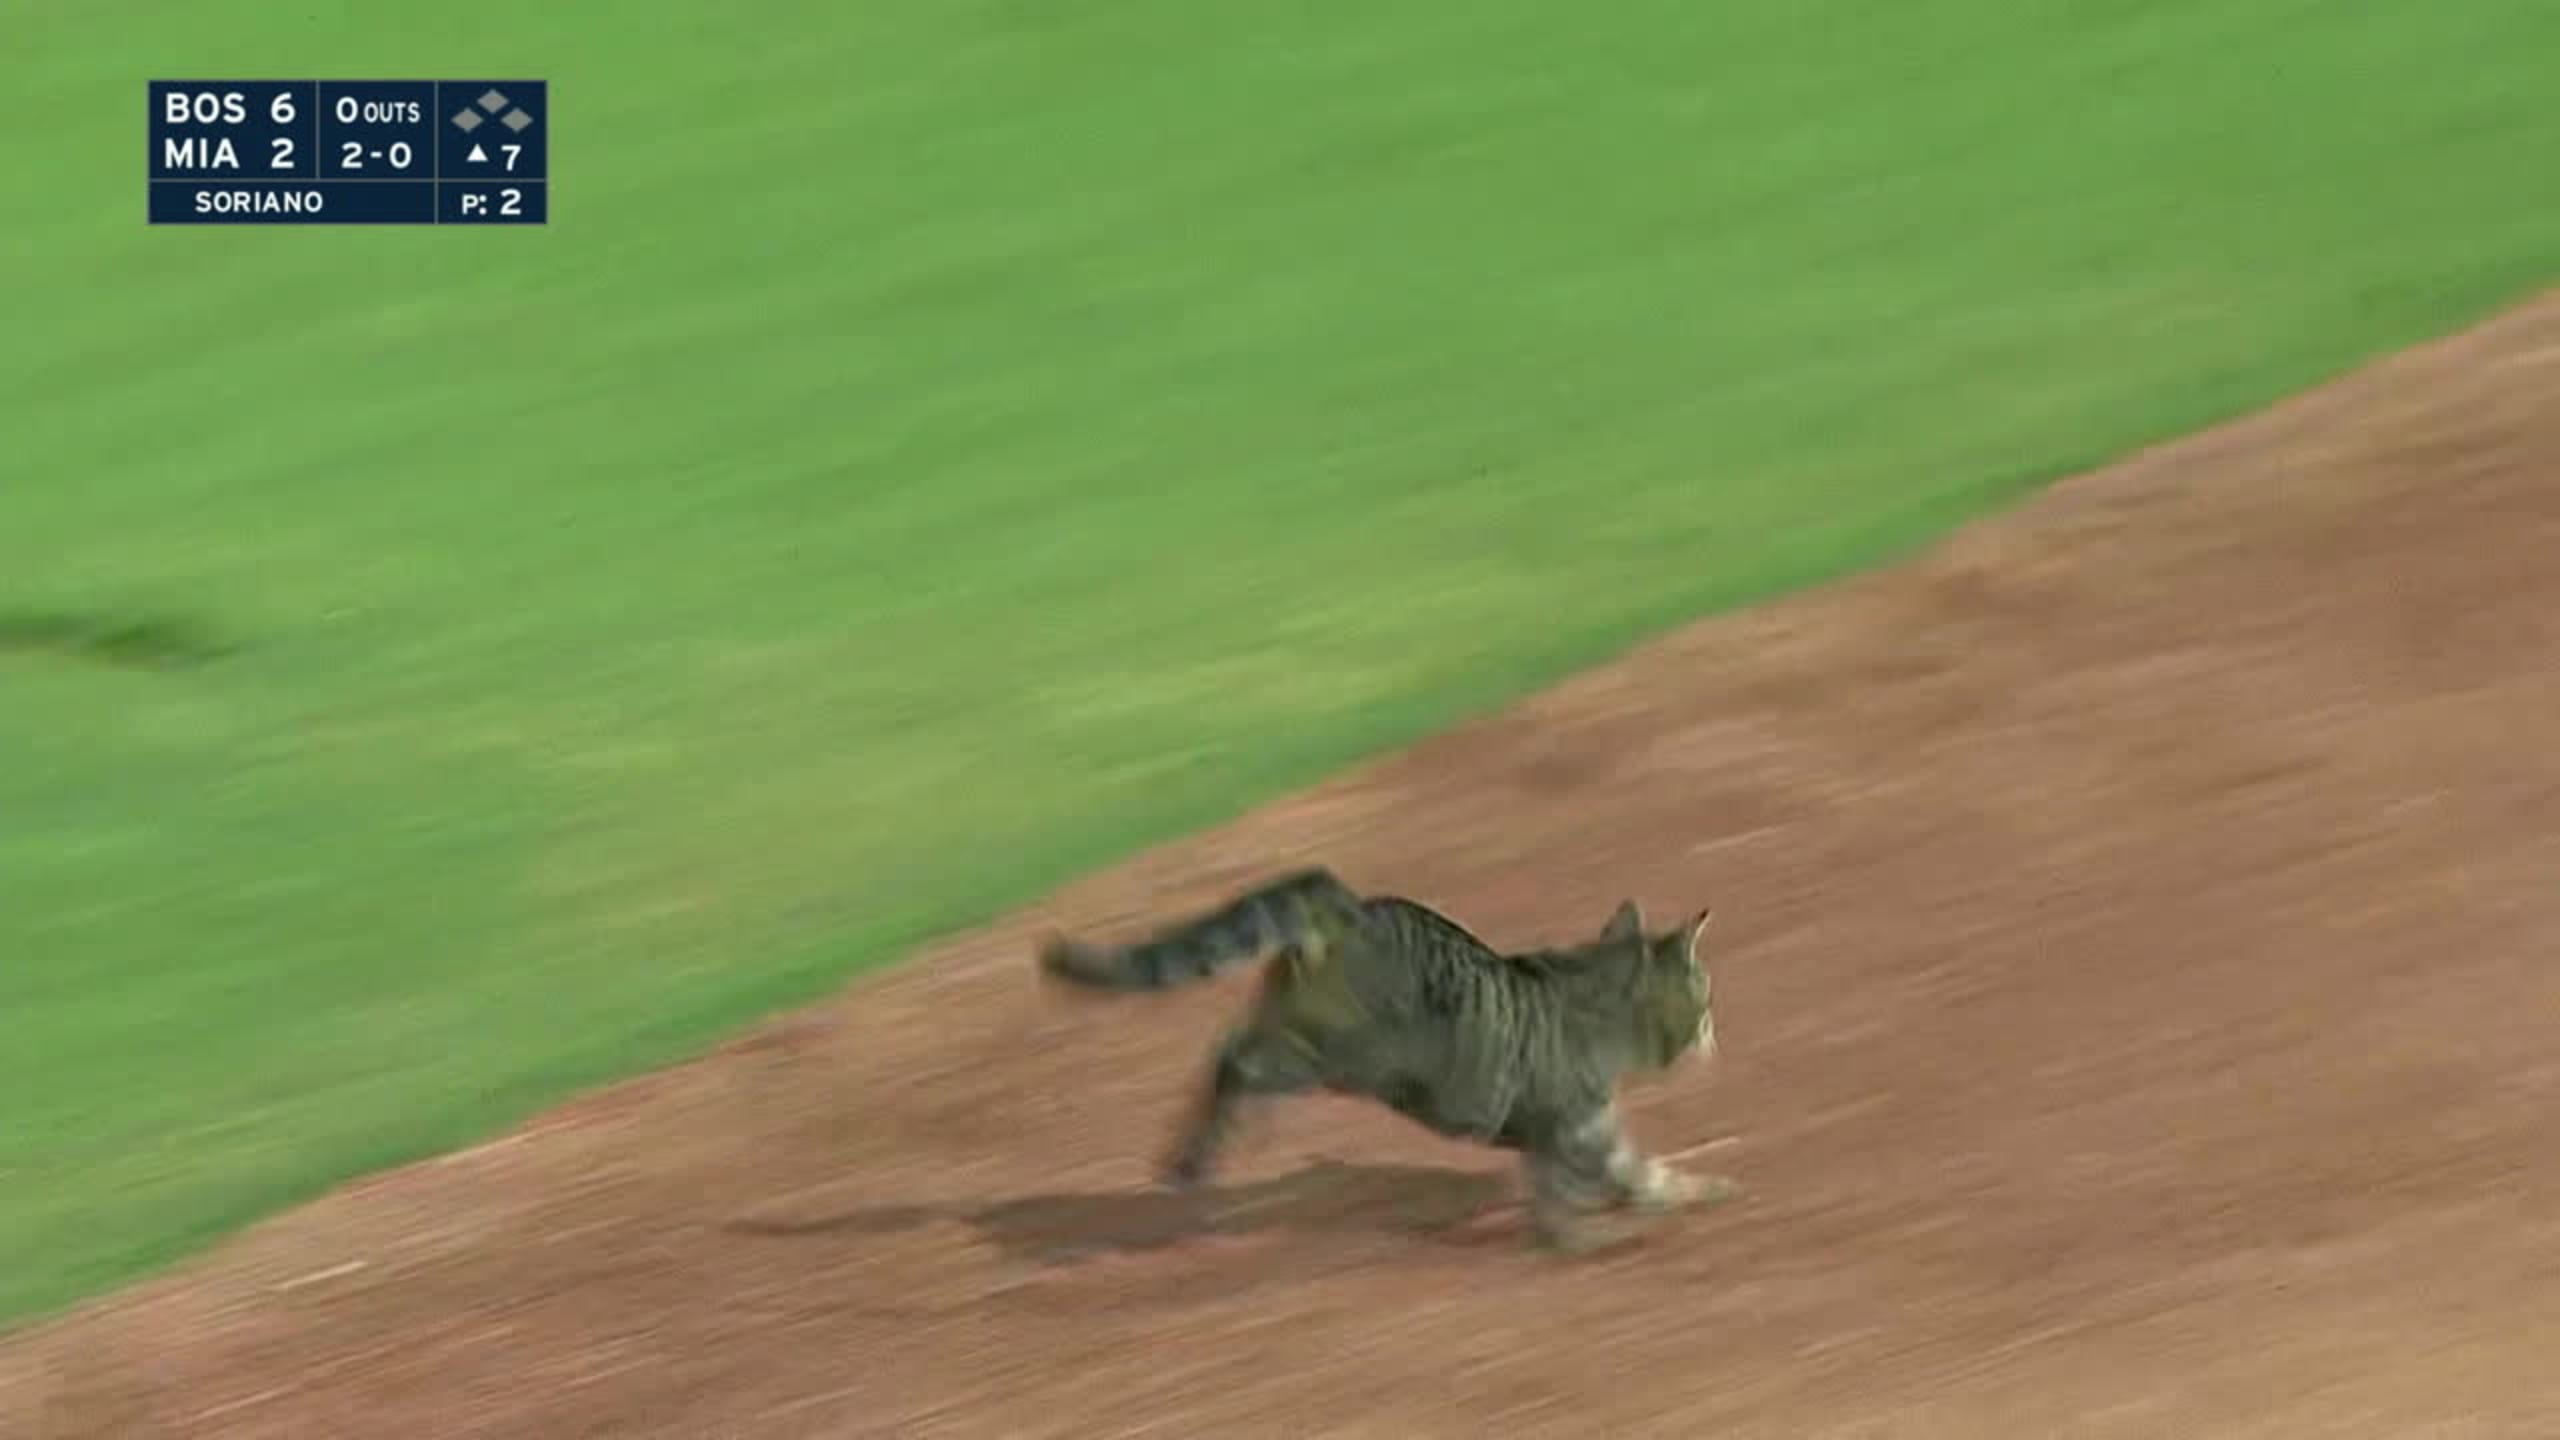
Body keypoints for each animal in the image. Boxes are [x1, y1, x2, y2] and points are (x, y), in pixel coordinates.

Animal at [1029, 860, 1730, 1245]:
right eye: (1704, 998)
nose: (1713, 1030)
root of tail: (1348, 907)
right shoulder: (1575, 1121)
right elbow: (1604, 1181)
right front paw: (1615, 1220)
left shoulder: (1566, 1129)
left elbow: (1593, 1180)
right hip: (1343, 1053)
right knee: (1236, 1063)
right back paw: (1201, 1154)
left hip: (1303, 1028)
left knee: (1231, 1051)